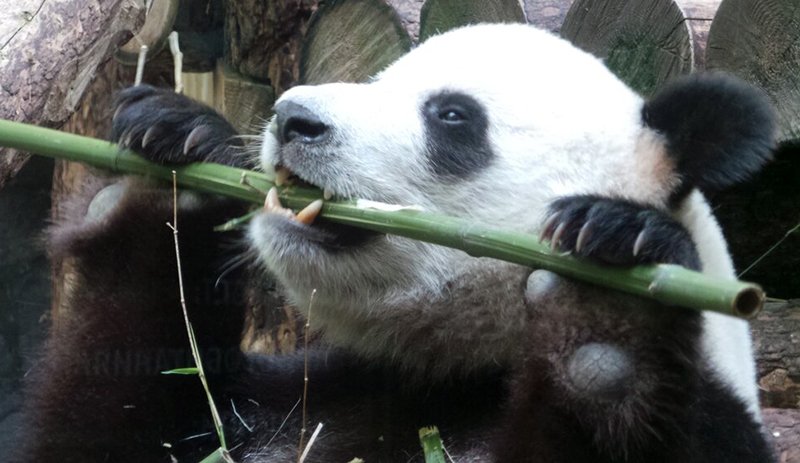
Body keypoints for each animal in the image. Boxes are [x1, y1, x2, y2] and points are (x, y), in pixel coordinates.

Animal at [14, 22, 776, 463]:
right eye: (379, 80)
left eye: (452, 115)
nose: (293, 117)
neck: (454, 376)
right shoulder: (313, 403)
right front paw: (170, 154)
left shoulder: (713, 427)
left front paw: (610, 299)